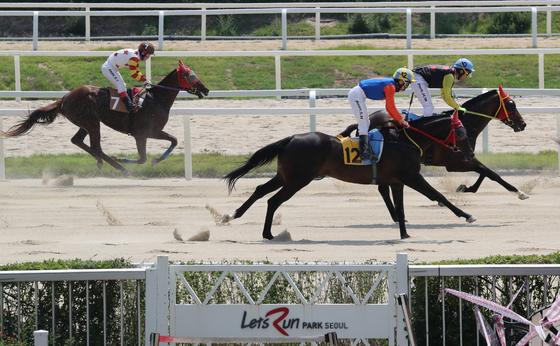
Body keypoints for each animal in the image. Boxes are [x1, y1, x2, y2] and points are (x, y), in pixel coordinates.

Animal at [2, 59, 208, 174]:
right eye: (190, 75)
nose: (205, 89)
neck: (155, 100)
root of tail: (64, 98)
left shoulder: (153, 131)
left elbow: (173, 140)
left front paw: (157, 160)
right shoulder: (143, 133)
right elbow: (144, 157)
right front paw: (129, 160)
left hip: (86, 123)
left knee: (78, 141)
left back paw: (103, 162)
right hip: (92, 122)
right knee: (95, 146)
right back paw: (118, 165)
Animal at [223, 116, 476, 241]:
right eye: (462, 133)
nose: (470, 155)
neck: (406, 140)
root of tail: (291, 138)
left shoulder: (398, 181)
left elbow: (401, 208)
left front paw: (404, 233)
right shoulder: (411, 176)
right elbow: (438, 195)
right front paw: (467, 215)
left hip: (286, 176)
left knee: (259, 190)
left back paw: (233, 215)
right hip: (297, 180)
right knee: (273, 200)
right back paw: (267, 233)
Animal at [340, 85, 528, 223]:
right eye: (511, 105)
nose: (523, 124)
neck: (465, 124)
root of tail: (368, 120)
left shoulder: (466, 157)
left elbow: (485, 173)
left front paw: (465, 188)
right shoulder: (456, 163)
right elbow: (491, 173)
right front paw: (520, 192)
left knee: (383, 188)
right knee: (383, 188)